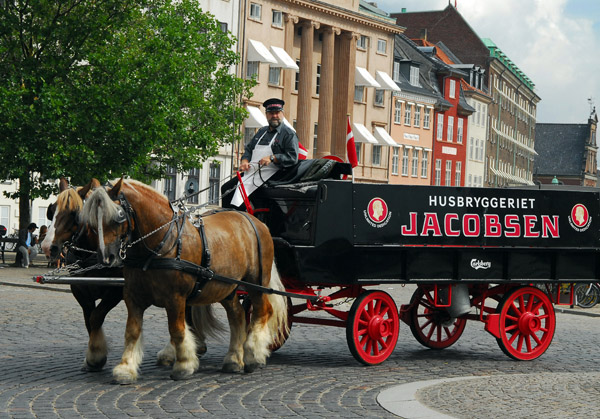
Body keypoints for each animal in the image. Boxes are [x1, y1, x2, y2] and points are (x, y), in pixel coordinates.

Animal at [41, 179, 218, 372]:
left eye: (75, 213)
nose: (47, 247)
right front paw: (93, 355)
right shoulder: (80, 291)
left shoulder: (116, 292)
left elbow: (96, 317)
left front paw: (96, 355)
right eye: (51, 210)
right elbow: (89, 320)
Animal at [80, 178, 288, 384]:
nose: (106, 258)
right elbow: (132, 330)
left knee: (263, 311)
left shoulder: (175, 298)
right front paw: (126, 368)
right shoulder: (133, 297)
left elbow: (177, 330)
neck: (161, 243)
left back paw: (253, 355)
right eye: (90, 220)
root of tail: (256, 222)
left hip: (257, 282)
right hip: (226, 287)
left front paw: (184, 365)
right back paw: (234, 359)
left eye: (119, 216)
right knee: (237, 315)